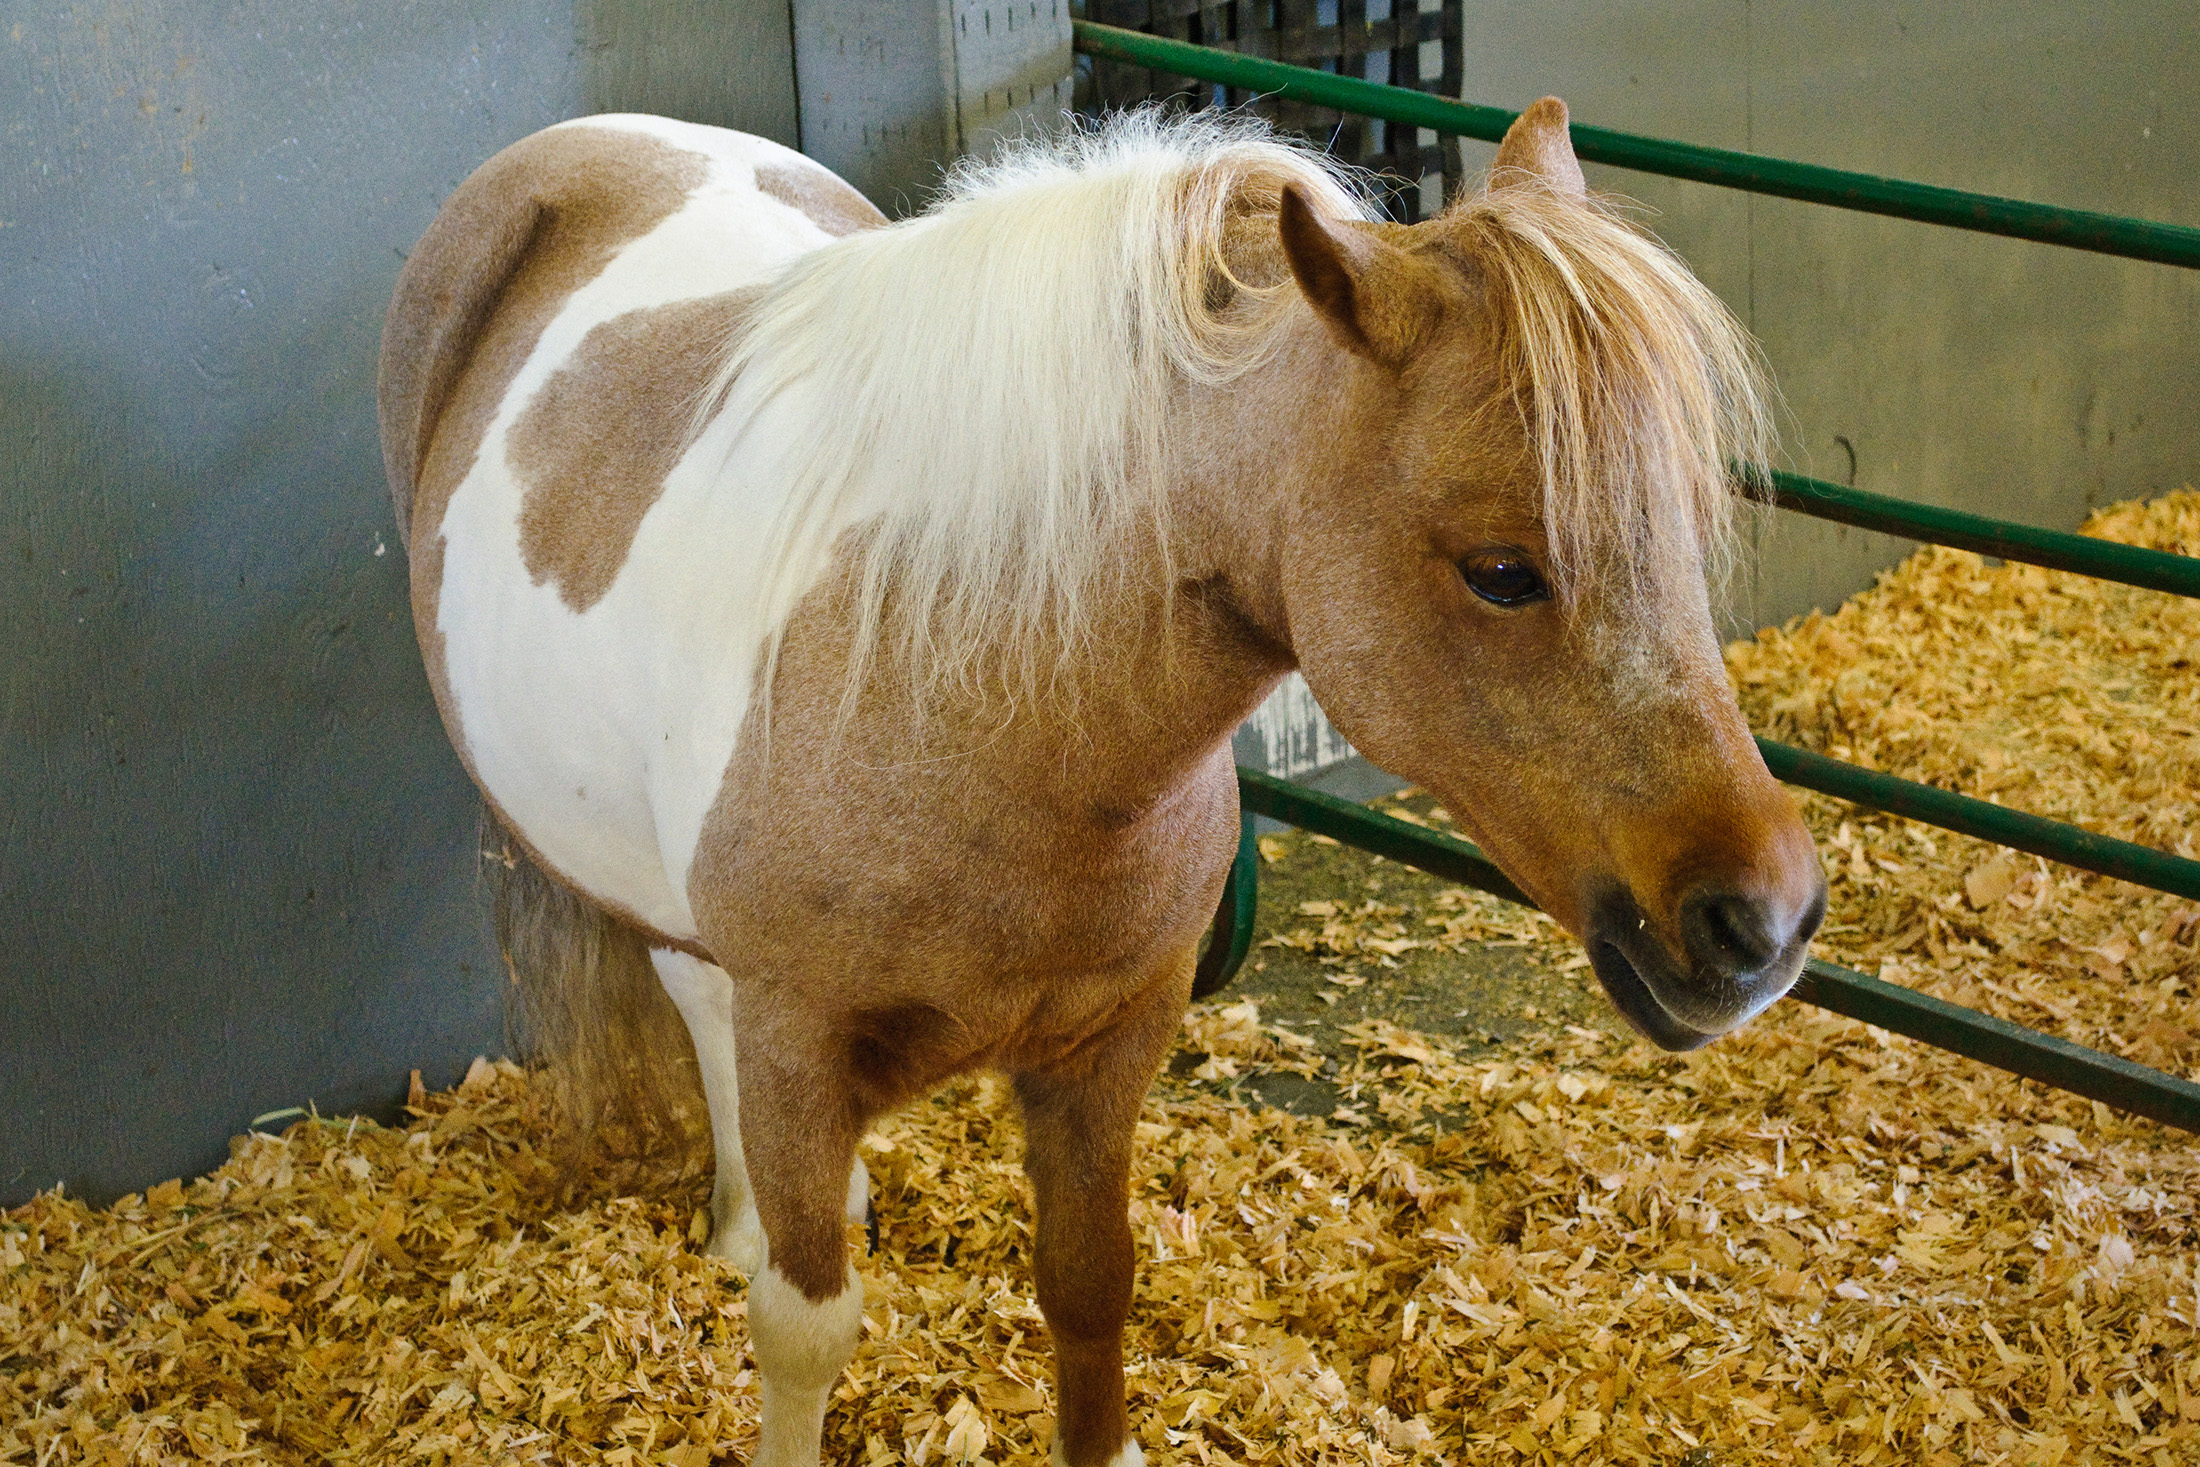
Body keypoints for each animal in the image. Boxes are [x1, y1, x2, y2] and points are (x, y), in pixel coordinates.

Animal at [379, 101, 1826, 1467]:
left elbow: (1089, 1284)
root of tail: (588, 145)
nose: (1765, 921)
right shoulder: (799, 1043)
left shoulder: (1110, 1043)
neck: (962, 683)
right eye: (1504, 571)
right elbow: (804, 1331)